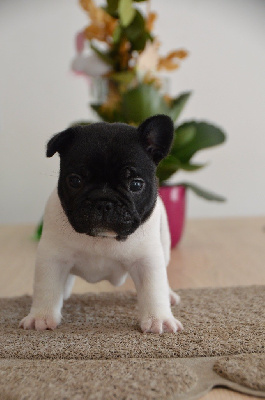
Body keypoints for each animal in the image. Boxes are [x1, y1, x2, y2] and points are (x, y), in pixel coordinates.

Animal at [19, 115, 183, 334]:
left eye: (136, 184)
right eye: (75, 181)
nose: (104, 202)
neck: (102, 238)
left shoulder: (147, 260)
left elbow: (153, 289)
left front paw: (159, 319)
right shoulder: (52, 257)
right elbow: (47, 287)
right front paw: (41, 317)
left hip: (164, 244)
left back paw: (169, 294)